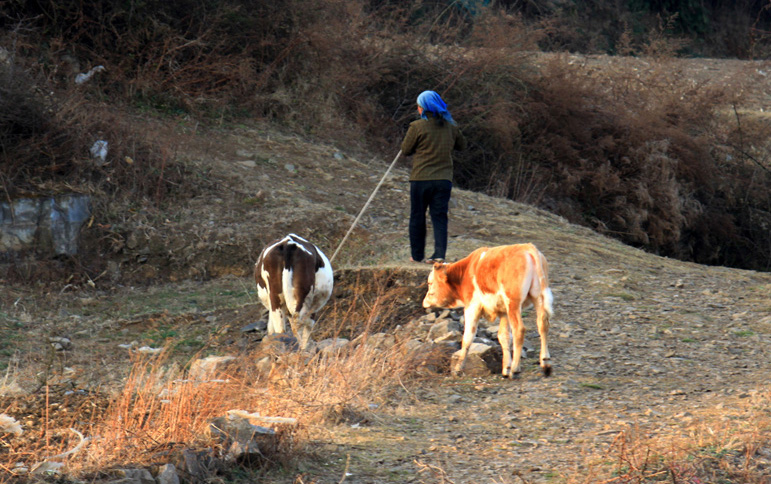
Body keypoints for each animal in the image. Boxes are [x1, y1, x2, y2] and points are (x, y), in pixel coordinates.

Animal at [422, 244, 556, 376]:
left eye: (430, 283)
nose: (424, 302)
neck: (465, 272)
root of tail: (528, 247)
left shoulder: (472, 306)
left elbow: (467, 337)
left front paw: (458, 368)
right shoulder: (504, 312)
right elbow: (503, 336)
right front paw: (506, 368)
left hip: (513, 302)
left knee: (519, 329)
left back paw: (515, 368)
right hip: (537, 297)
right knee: (543, 324)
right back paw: (546, 362)